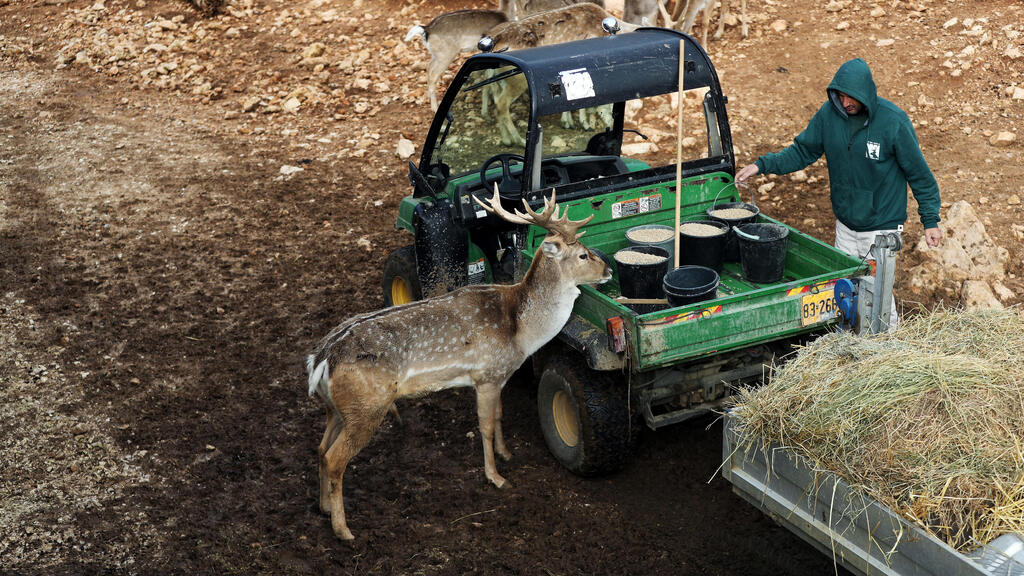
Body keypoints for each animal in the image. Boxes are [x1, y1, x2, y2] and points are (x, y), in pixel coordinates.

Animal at [303, 188, 606, 537]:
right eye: (583, 255)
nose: (608, 270)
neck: (520, 332)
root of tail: (322, 358)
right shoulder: (486, 375)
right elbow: (484, 425)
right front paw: (496, 477)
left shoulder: (498, 376)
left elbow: (499, 416)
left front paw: (506, 453)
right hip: (367, 407)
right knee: (336, 459)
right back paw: (343, 530)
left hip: (337, 408)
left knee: (321, 450)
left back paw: (324, 508)